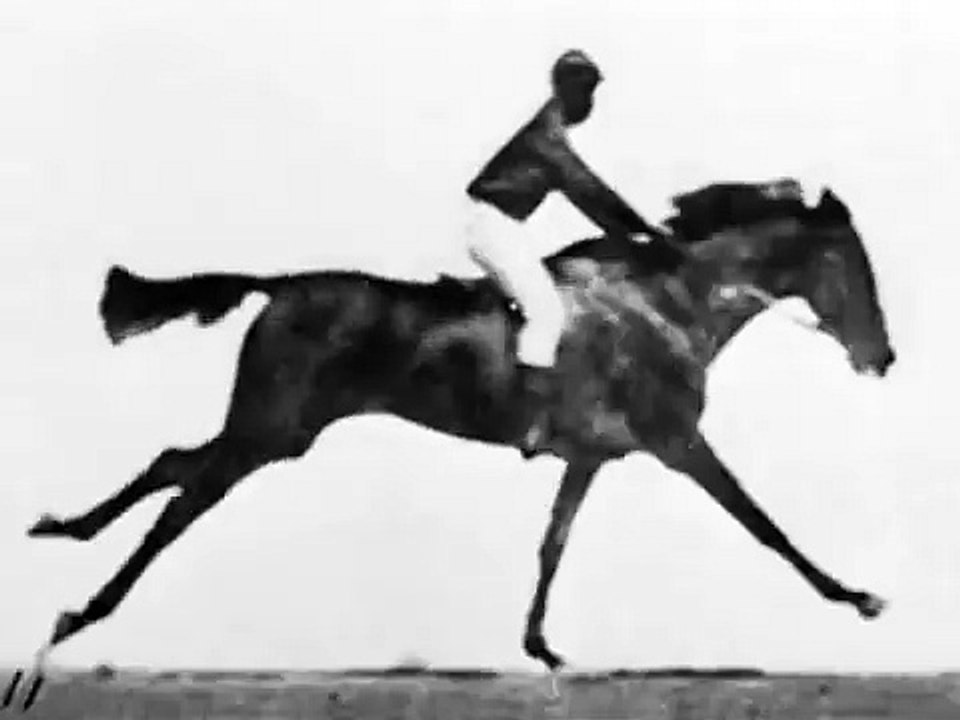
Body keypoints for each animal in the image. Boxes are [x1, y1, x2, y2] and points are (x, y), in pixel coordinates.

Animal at [4, 178, 896, 711]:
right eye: (851, 266)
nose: (881, 357)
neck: (670, 303)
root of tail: (283, 286)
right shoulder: (679, 441)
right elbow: (764, 524)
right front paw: (857, 597)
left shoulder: (588, 456)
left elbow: (552, 545)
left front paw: (541, 648)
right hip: (272, 430)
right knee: (183, 499)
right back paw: (79, 612)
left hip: (275, 431)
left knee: (173, 465)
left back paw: (62, 531)